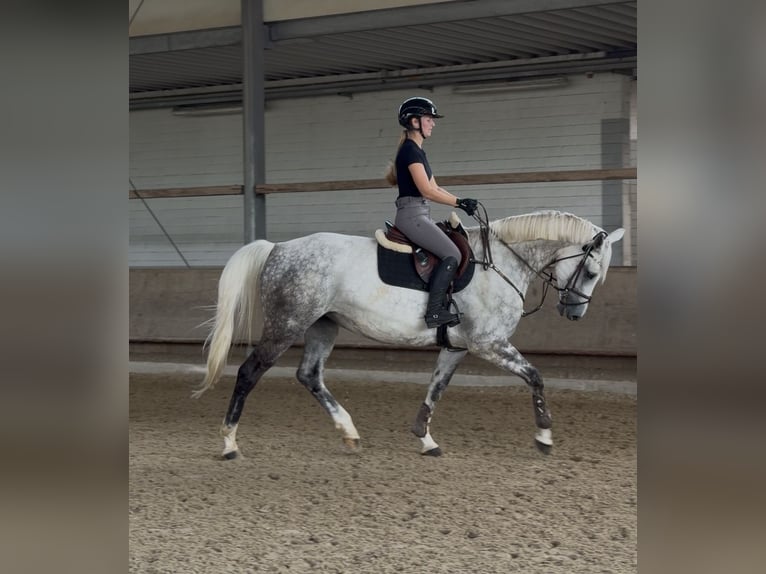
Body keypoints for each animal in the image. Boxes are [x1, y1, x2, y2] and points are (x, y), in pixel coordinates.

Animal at [192, 209, 624, 458]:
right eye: (590, 271)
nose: (574, 313)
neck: (500, 262)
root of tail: (278, 248)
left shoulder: (458, 347)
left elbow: (436, 387)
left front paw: (425, 438)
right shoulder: (490, 344)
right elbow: (535, 376)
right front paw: (544, 437)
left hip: (322, 325)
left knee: (309, 375)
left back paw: (349, 433)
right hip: (286, 325)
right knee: (249, 372)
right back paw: (229, 443)